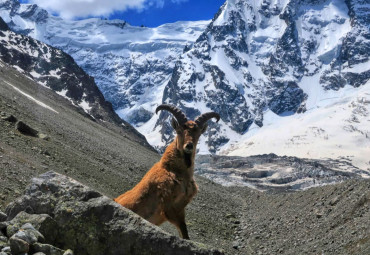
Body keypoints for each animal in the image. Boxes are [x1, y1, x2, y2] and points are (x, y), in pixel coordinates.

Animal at [115, 103, 220, 239]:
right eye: (179, 130)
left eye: (198, 133)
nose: (189, 146)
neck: (173, 170)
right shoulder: (169, 207)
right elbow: (183, 231)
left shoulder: (180, 208)